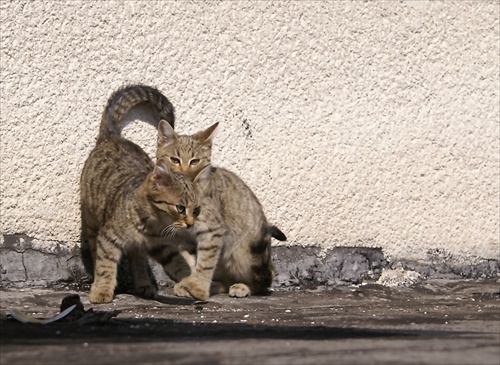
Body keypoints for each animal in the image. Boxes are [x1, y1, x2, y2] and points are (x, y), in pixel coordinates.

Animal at [80, 84, 205, 302]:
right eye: (180, 208)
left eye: (195, 210)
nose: (190, 224)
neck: (153, 222)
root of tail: (113, 137)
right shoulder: (108, 238)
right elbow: (105, 266)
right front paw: (102, 289)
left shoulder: (161, 246)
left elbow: (180, 265)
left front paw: (194, 286)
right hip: (93, 222)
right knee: (97, 252)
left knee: (136, 258)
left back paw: (144, 284)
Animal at [156, 120, 290, 298]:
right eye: (174, 160)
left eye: (195, 161)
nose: (184, 173)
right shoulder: (182, 239)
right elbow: (191, 263)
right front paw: (190, 283)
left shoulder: (212, 231)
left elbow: (205, 263)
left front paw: (198, 288)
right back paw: (215, 285)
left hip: (245, 250)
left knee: (266, 279)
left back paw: (242, 287)